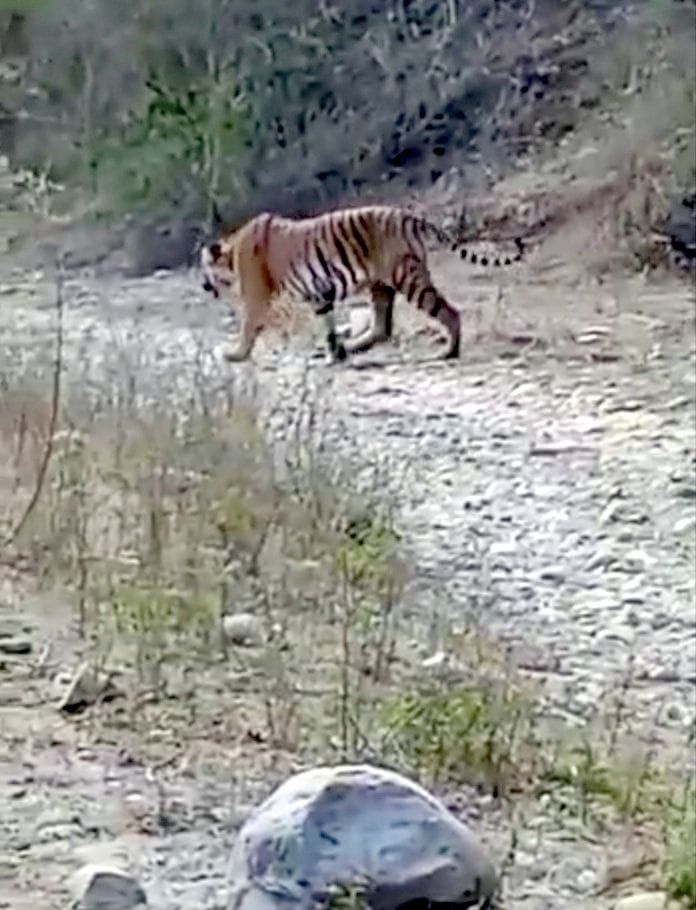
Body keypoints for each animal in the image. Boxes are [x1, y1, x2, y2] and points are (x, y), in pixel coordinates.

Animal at [199, 204, 525, 364]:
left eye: (204, 268)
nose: (203, 285)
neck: (231, 250)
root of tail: (409, 215)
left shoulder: (256, 296)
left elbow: (248, 325)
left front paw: (235, 354)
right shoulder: (321, 295)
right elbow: (328, 325)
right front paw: (335, 353)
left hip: (406, 277)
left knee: (449, 312)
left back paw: (449, 352)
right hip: (381, 284)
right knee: (382, 328)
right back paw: (352, 347)